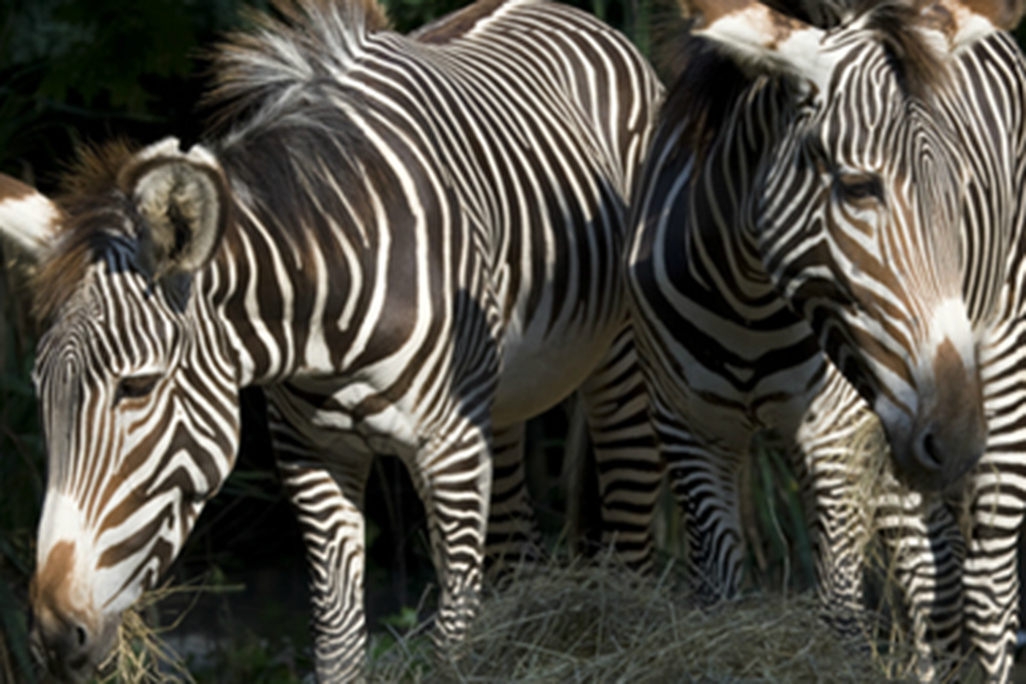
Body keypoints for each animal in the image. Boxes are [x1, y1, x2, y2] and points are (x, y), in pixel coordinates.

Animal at [0, 0, 663, 680]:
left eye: (136, 386)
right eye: (40, 388)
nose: (54, 634)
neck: (321, 314)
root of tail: (562, 10)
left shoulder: (449, 452)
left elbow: (450, 640)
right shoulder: (312, 455)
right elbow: (339, 641)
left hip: (620, 358)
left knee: (632, 504)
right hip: (500, 401)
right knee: (517, 548)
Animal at [627, 0, 1026, 679]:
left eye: (961, 195)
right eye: (859, 187)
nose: (955, 440)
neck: (745, 296)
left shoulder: (834, 441)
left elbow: (841, 622)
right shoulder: (689, 433)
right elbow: (715, 596)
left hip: (998, 361)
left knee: (989, 586)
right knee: (935, 575)